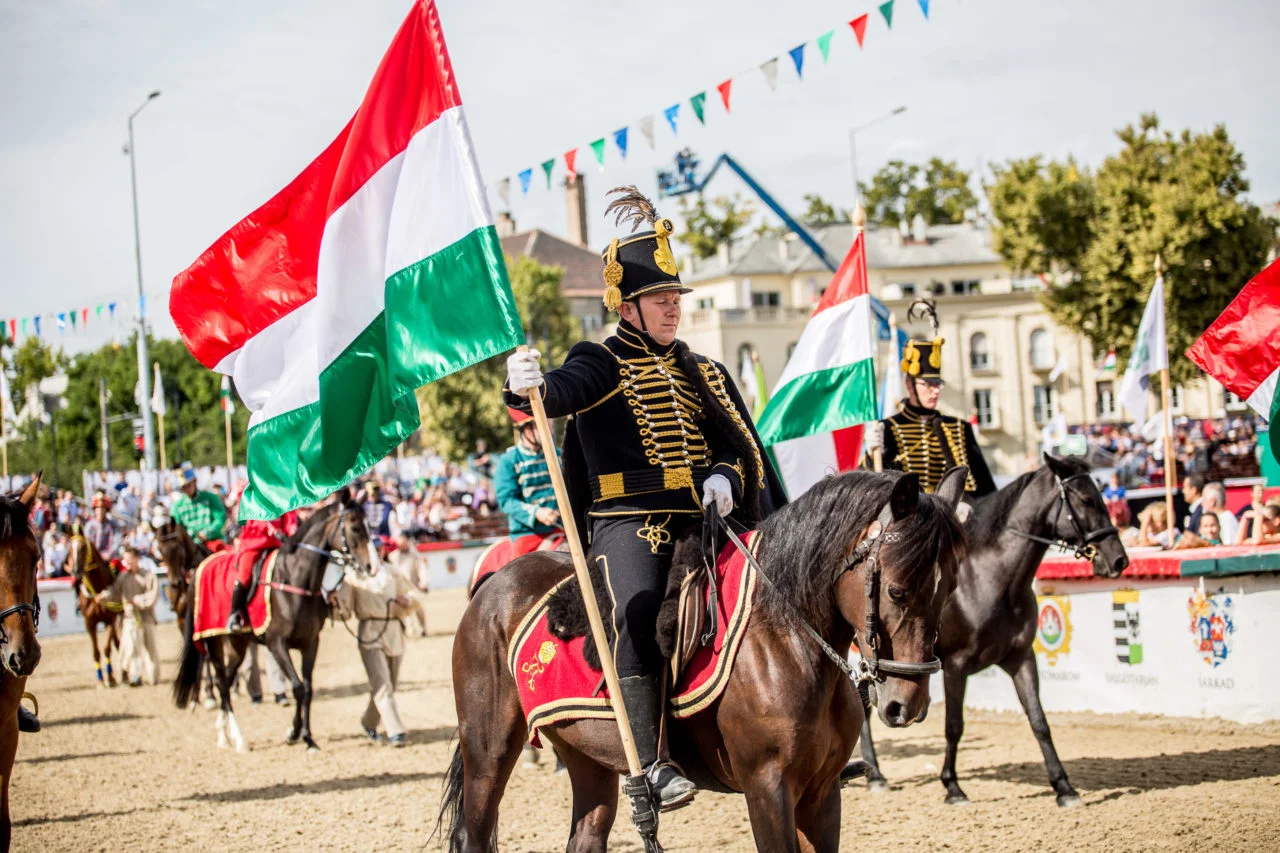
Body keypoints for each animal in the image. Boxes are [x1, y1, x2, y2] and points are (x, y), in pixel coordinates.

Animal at [66, 532, 121, 686]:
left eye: (84, 548)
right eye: (70, 550)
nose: (76, 571)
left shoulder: (110, 620)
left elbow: (107, 648)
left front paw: (110, 678)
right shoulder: (89, 623)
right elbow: (96, 652)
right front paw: (101, 679)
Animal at [172, 494, 371, 747]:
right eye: (355, 528)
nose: (369, 566)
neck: (296, 581)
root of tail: (199, 567)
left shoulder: (310, 644)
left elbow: (307, 689)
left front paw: (303, 734)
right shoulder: (277, 644)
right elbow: (297, 687)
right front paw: (300, 735)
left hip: (237, 644)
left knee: (226, 678)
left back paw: (224, 734)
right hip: (214, 640)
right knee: (221, 682)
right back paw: (236, 738)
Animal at [435, 466, 962, 850]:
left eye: (950, 587)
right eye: (896, 590)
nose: (907, 704)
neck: (787, 635)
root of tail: (495, 584)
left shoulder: (822, 792)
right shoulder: (767, 789)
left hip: (589, 759)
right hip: (489, 751)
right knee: (474, 833)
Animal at [855, 450, 1126, 804]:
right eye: (1086, 499)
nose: (1119, 559)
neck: (994, 581)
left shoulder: (1021, 658)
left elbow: (1039, 720)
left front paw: (1063, 786)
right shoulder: (955, 666)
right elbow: (954, 725)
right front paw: (952, 786)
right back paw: (875, 775)